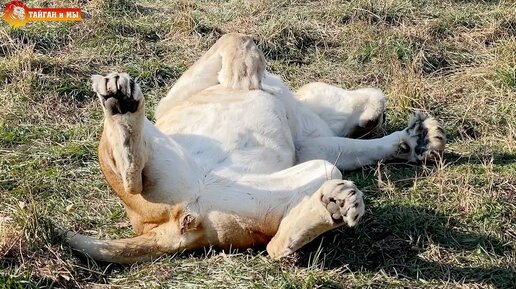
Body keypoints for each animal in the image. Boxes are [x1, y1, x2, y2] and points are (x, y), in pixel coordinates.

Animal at [66, 32, 446, 262]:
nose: (375, 118)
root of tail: (177, 222)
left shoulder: (310, 147)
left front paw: (417, 141)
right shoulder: (173, 102)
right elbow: (236, 38)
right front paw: (246, 73)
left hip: (298, 179)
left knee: (278, 246)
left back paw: (334, 206)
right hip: (155, 144)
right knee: (130, 171)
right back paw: (120, 101)